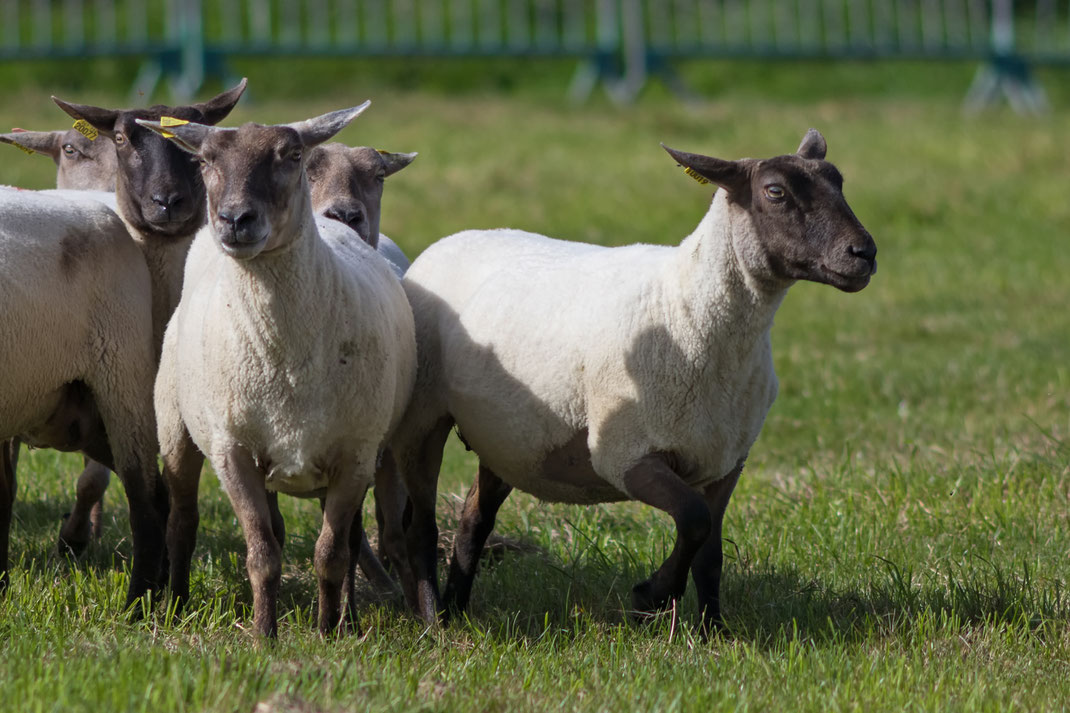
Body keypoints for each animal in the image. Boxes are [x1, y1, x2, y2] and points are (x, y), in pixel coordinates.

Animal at [144, 102, 419, 633]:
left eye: (291, 155)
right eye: (204, 161)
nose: (234, 219)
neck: (286, 360)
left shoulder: (355, 456)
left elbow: (332, 554)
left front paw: (329, 632)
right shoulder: (232, 452)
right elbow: (262, 555)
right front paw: (264, 637)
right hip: (175, 425)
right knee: (182, 521)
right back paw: (174, 606)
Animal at [391, 129, 877, 629]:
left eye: (839, 182)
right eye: (775, 192)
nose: (864, 253)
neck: (685, 305)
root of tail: (453, 238)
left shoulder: (726, 459)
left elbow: (710, 551)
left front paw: (713, 631)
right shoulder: (626, 453)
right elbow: (694, 520)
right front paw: (652, 595)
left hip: (508, 438)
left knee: (474, 519)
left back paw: (456, 609)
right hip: (421, 416)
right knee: (418, 525)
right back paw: (432, 621)